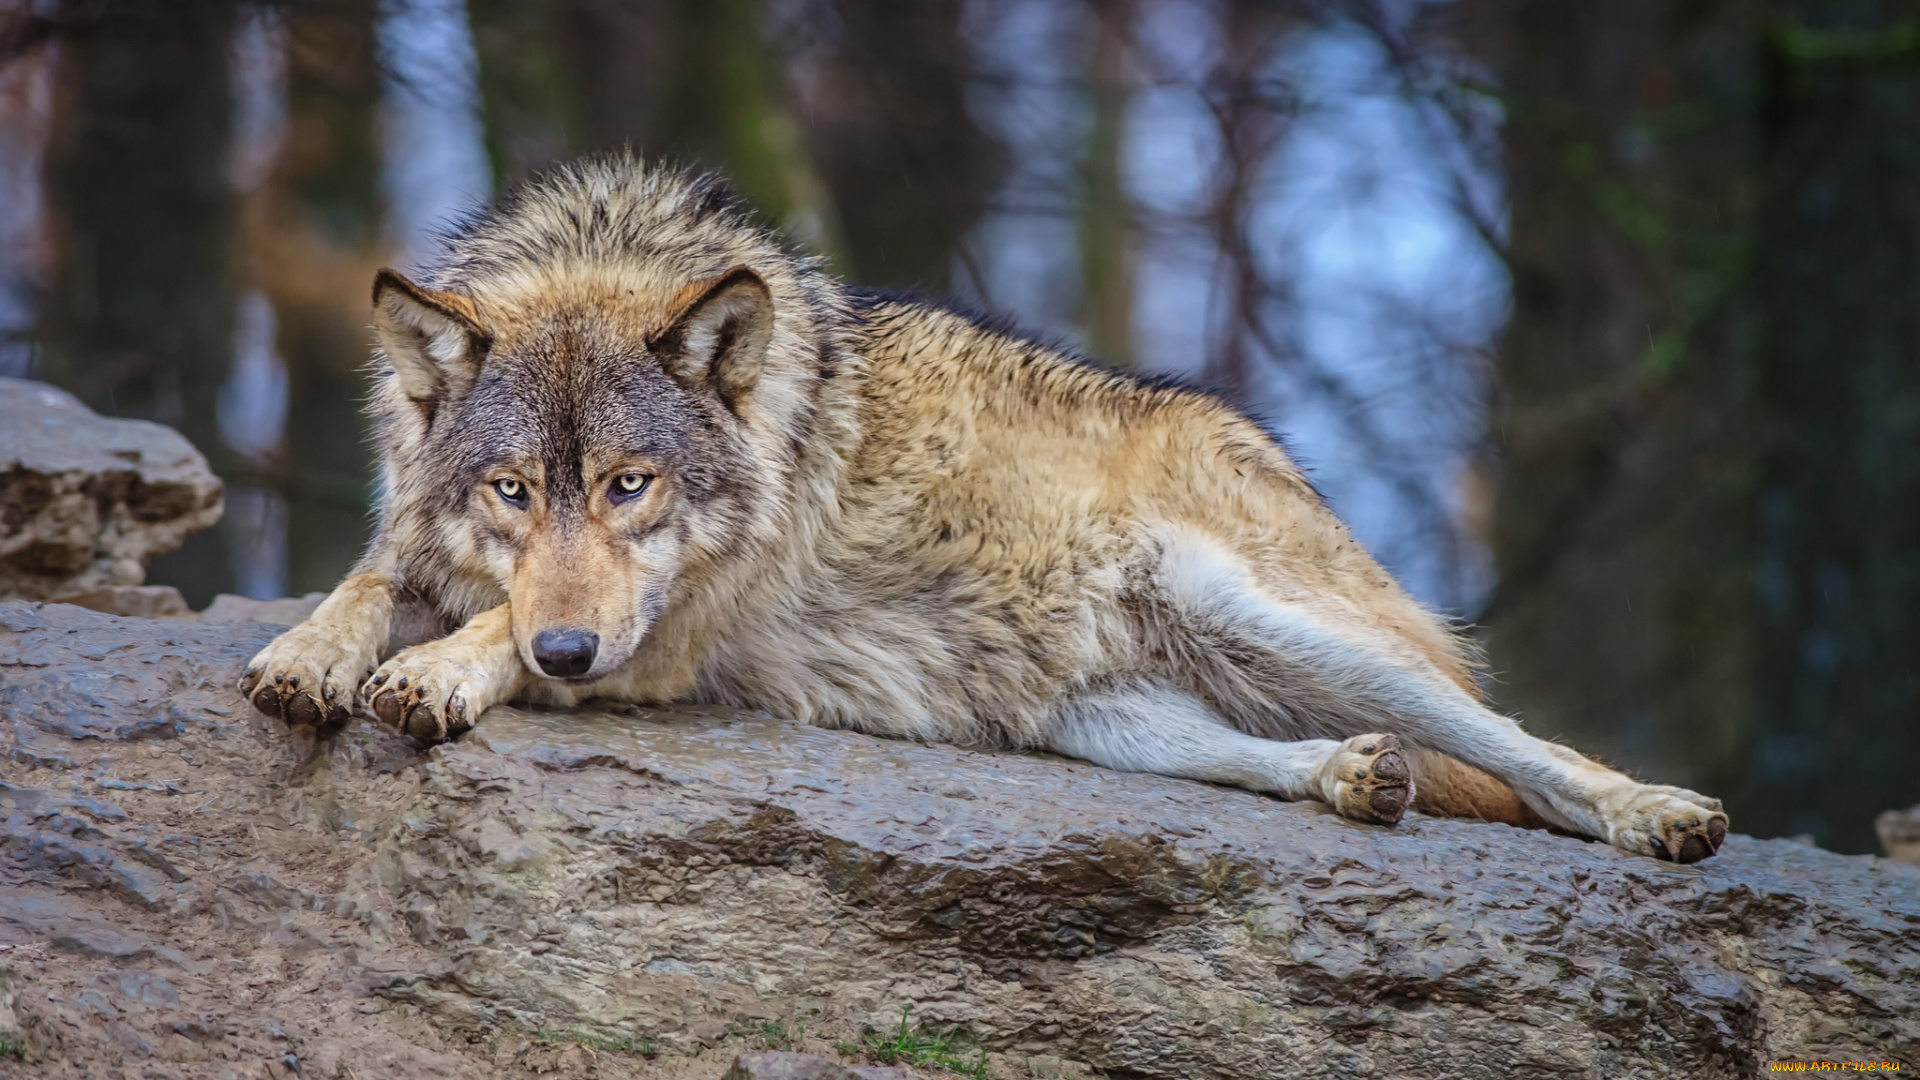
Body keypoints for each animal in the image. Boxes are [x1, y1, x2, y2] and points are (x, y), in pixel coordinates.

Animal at [236, 153, 1728, 857]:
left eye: (628, 485)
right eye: (511, 488)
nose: (564, 653)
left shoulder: (659, 643)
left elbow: (486, 630)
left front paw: (439, 670)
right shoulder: (432, 547)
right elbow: (369, 581)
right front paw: (309, 655)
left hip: (1275, 619)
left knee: (1524, 752)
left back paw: (1656, 814)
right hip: (1101, 725)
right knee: (1302, 760)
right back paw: (1353, 779)